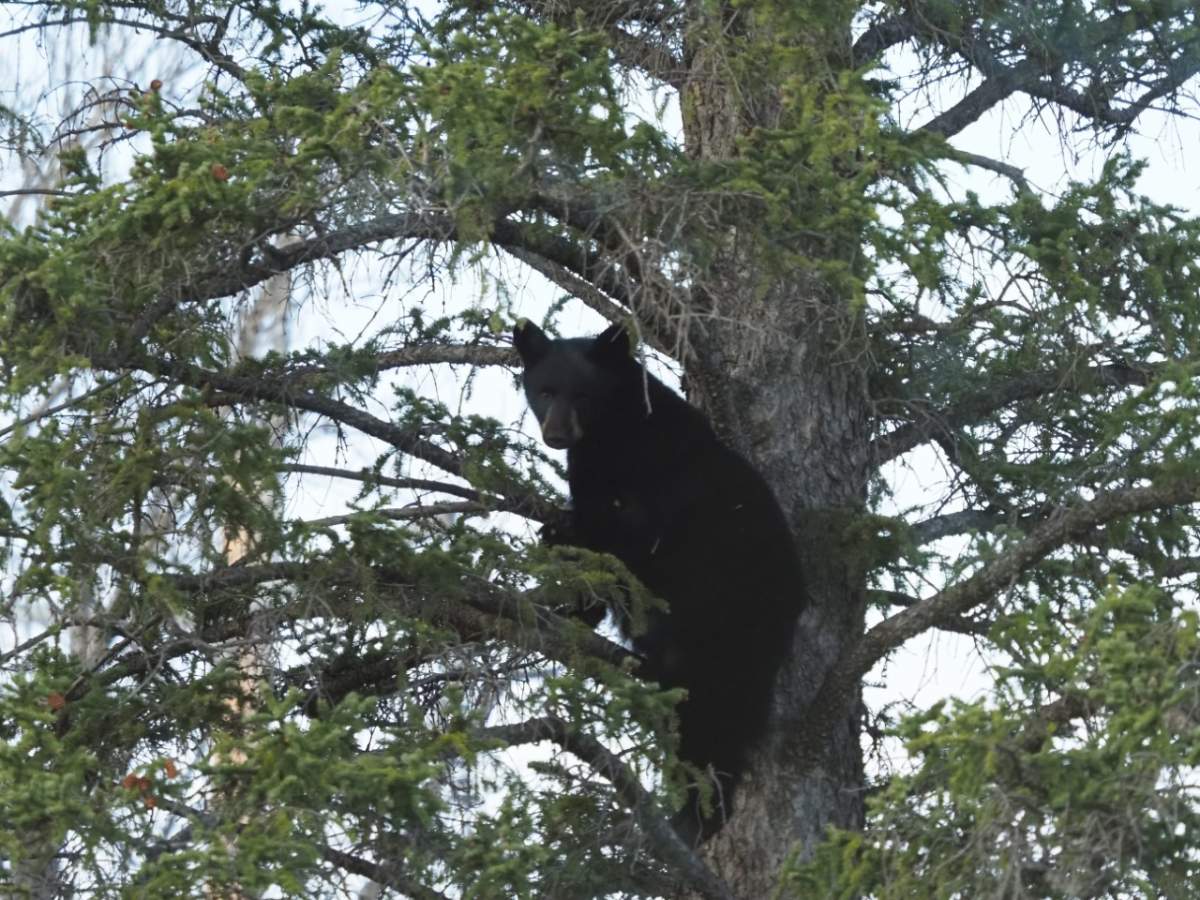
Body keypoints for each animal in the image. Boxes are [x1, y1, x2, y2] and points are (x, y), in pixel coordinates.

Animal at [513, 319, 805, 843]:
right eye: (545, 390)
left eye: (582, 394)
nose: (557, 435)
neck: (618, 422)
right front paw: (573, 601)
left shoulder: (641, 477)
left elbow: (617, 541)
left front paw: (560, 541)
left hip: (718, 617)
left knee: (710, 715)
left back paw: (698, 815)